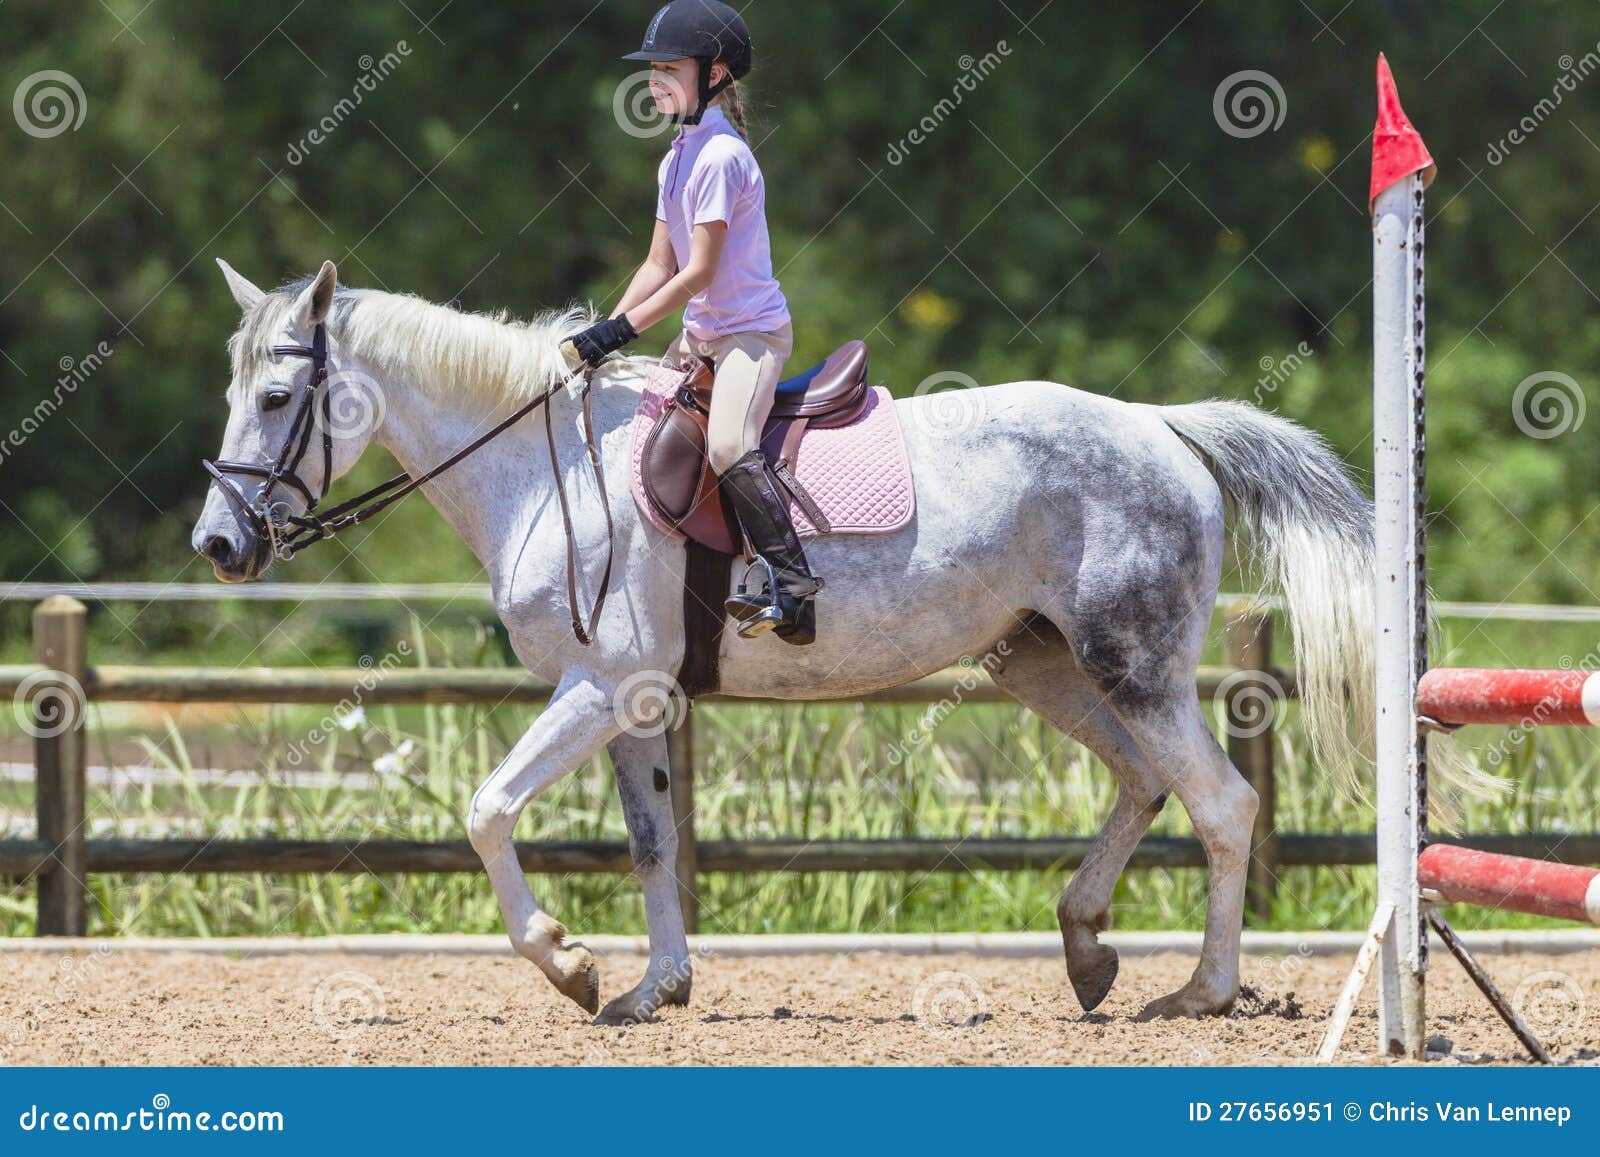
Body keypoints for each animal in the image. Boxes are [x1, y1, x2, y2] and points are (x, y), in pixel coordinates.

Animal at [192, 257, 1378, 1025]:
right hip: (1038, 659)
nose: (217, 543)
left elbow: (486, 809)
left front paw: (567, 964)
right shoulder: (636, 703)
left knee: (1221, 803)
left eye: (280, 395)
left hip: (1136, 668)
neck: (541, 464)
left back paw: (1201, 990)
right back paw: (1087, 942)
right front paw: (653, 987)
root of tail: (1162, 424)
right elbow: (651, 842)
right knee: (1143, 781)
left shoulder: (596, 686)